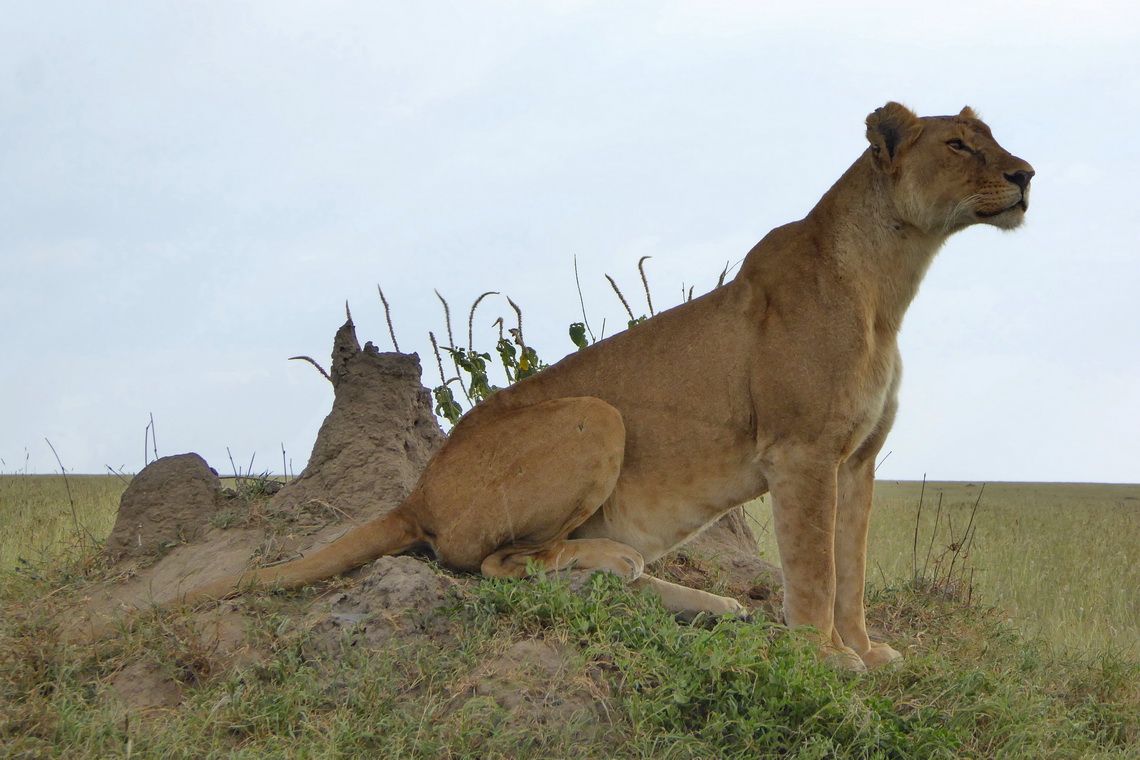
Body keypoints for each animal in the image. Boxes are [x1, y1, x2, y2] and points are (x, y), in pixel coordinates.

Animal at [171, 102, 1035, 669]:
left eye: (994, 139)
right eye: (960, 144)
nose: (1027, 174)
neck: (890, 283)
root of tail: (417, 490)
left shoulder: (857, 460)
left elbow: (849, 571)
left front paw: (865, 650)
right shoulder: (802, 453)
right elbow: (815, 570)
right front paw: (826, 657)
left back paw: (713, 605)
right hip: (593, 415)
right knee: (498, 564)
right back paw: (618, 566)